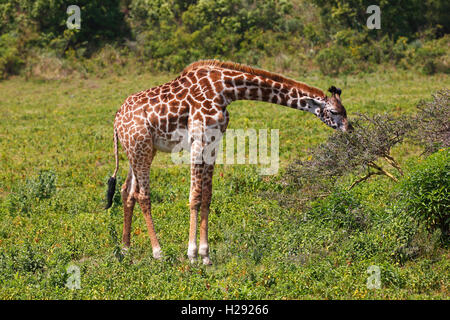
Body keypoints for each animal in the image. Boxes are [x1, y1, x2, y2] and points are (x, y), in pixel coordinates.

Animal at [105, 60, 352, 264]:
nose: (350, 129)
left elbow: (207, 196)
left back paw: (126, 250)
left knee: (127, 191)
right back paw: (158, 253)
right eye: (333, 111)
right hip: (141, 149)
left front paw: (205, 255)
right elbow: (194, 196)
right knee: (143, 195)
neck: (225, 89)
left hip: (139, 150)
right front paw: (192, 254)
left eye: (345, 110)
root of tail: (116, 120)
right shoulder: (198, 140)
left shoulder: (213, 144)